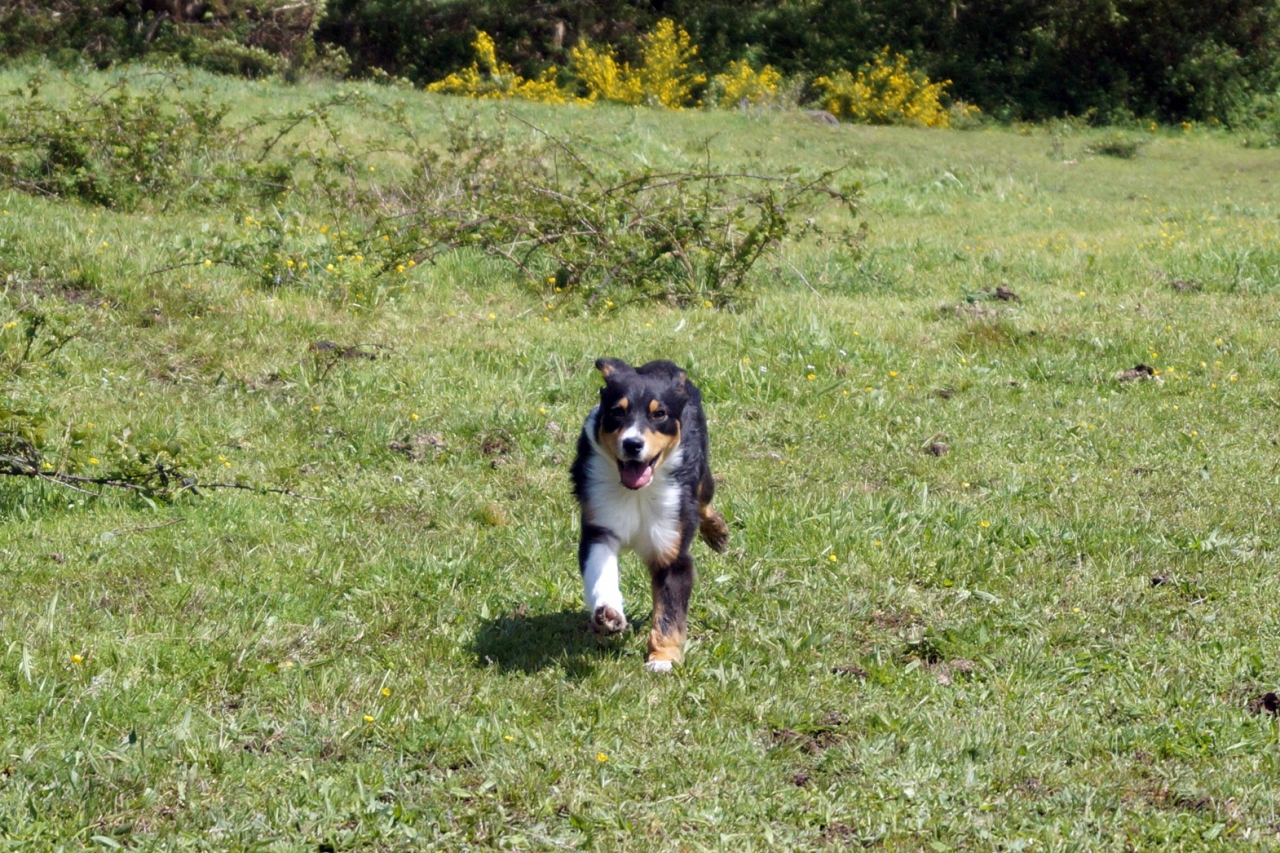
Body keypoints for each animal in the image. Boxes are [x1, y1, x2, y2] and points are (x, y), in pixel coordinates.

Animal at [570, 358, 729, 672]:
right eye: (617, 412)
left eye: (659, 414)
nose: (632, 444)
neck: (638, 494)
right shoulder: (599, 528)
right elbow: (601, 574)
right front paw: (608, 614)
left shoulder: (672, 549)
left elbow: (669, 611)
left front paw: (662, 659)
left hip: (701, 471)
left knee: (704, 500)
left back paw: (717, 532)